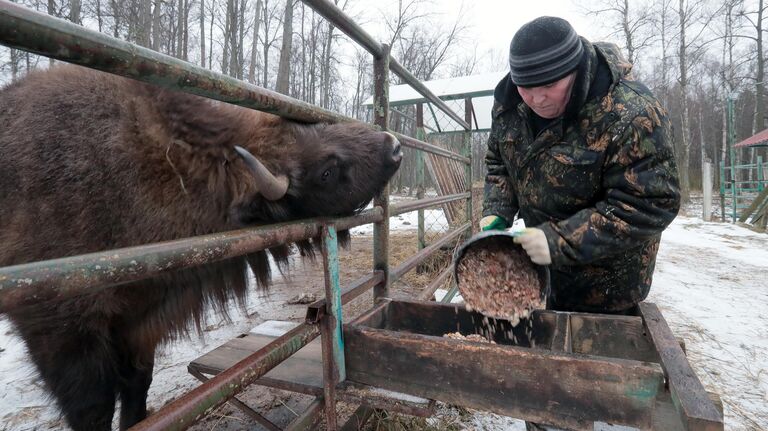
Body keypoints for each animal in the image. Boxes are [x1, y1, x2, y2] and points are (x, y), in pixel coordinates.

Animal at [0, 65, 404, 431]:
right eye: (326, 171)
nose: (395, 146)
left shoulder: (138, 323)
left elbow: (137, 386)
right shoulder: (61, 333)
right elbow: (93, 410)